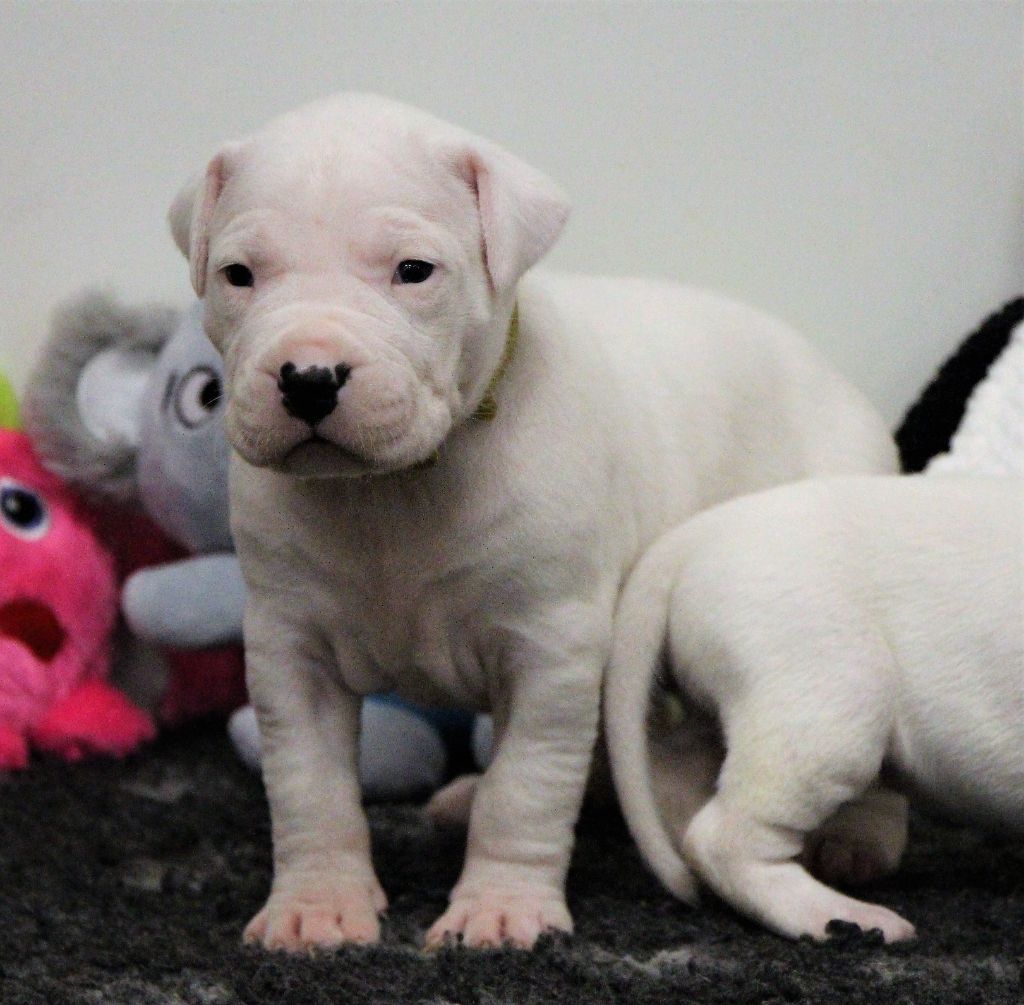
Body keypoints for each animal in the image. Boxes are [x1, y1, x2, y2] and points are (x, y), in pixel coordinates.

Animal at [168, 93, 901, 951]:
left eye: (413, 271)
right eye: (238, 275)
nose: (309, 377)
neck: (392, 490)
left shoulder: (553, 644)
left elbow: (525, 784)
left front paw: (501, 907)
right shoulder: (291, 645)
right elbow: (308, 786)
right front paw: (317, 905)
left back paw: (861, 840)